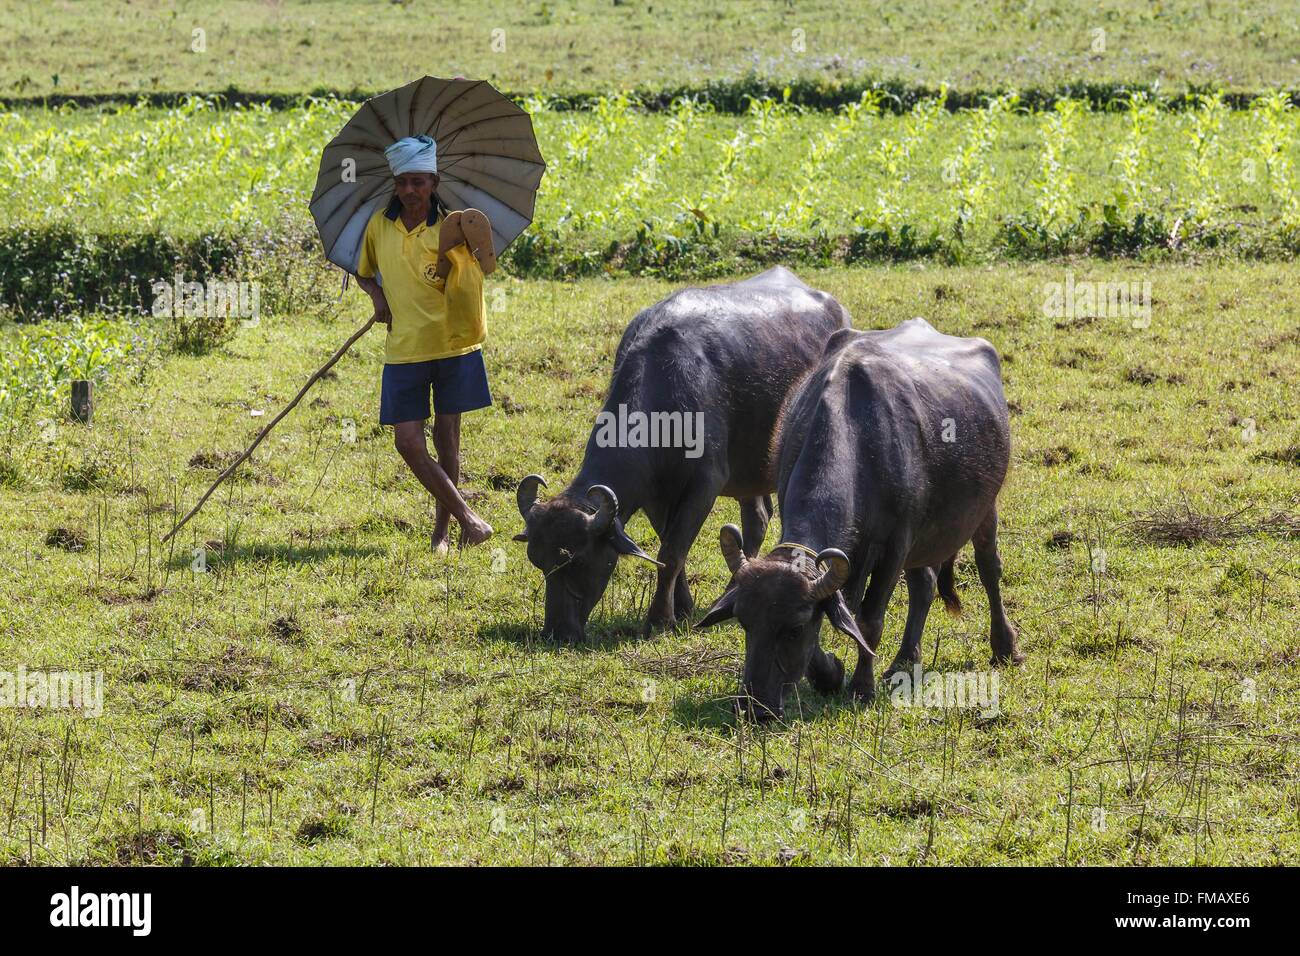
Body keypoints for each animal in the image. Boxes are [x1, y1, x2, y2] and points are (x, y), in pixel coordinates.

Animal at [512, 265, 857, 647]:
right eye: (539, 562)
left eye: (578, 561)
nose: (557, 632)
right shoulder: (654, 495)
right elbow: (670, 548)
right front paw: (683, 607)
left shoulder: (705, 484)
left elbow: (672, 551)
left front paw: (659, 619)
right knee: (757, 518)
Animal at [696, 317, 1019, 723]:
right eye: (744, 622)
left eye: (793, 629)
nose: (755, 707)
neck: (861, 438)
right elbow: (834, 615)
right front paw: (830, 674)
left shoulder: (895, 545)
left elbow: (869, 619)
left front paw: (861, 687)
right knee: (924, 585)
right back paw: (905, 661)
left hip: (985, 506)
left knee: (989, 568)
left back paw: (1005, 646)